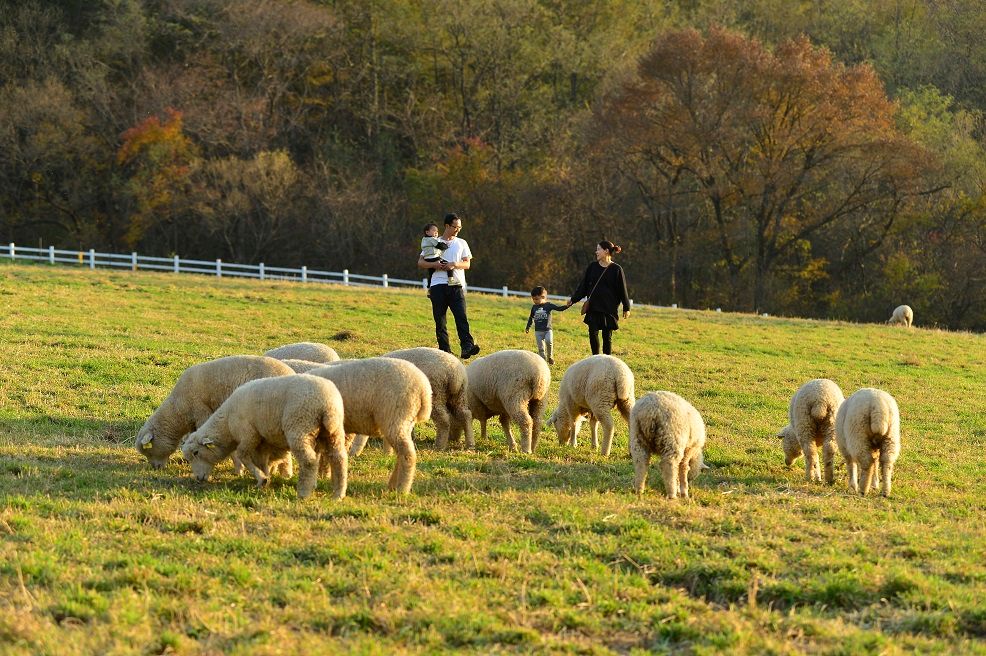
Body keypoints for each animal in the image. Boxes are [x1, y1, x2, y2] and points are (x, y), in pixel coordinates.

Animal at [179, 376, 348, 500]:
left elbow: (243, 455)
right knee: (339, 458)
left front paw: (261, 479)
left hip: (300, 426)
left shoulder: (249, 435)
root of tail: (326, 404)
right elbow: (262, 460)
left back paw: (304, 493)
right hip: (334, 432)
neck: (226, 424)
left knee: (309, 460)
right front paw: (265, 476)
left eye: (196, 452)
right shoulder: (262, 441)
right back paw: (338, 494)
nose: (198, 479)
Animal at [308, 358, 430, 492]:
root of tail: (424, 389)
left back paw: (402, 488)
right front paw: (323, 474)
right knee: (402, 453)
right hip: (405, 421)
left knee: (407, 454)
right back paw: (393, 485)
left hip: (395, 417)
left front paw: (323, 476)